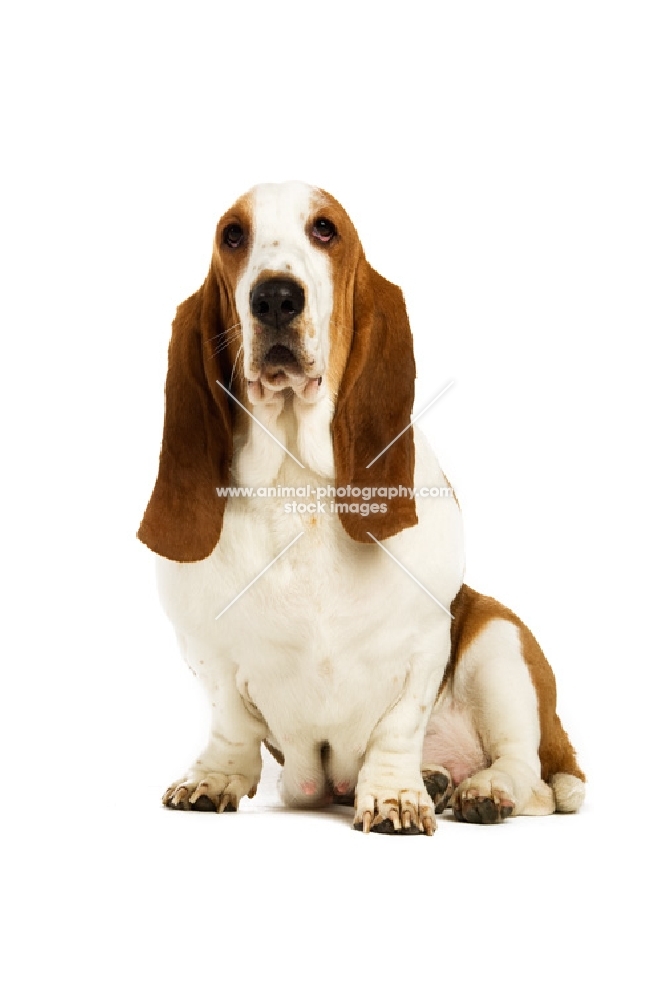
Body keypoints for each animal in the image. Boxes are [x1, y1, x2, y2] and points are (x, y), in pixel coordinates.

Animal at [137, 182, 584, 836]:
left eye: (325, 229)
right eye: (232, 235)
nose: (275, 297)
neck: (297, 483)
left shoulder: (424, 646)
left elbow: (398, 727)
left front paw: (396, 795)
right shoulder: (209, 652)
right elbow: (231, 725)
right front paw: (214, 777)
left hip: (501, 641)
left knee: (532, 776)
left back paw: (481, 789)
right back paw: (439, 778)